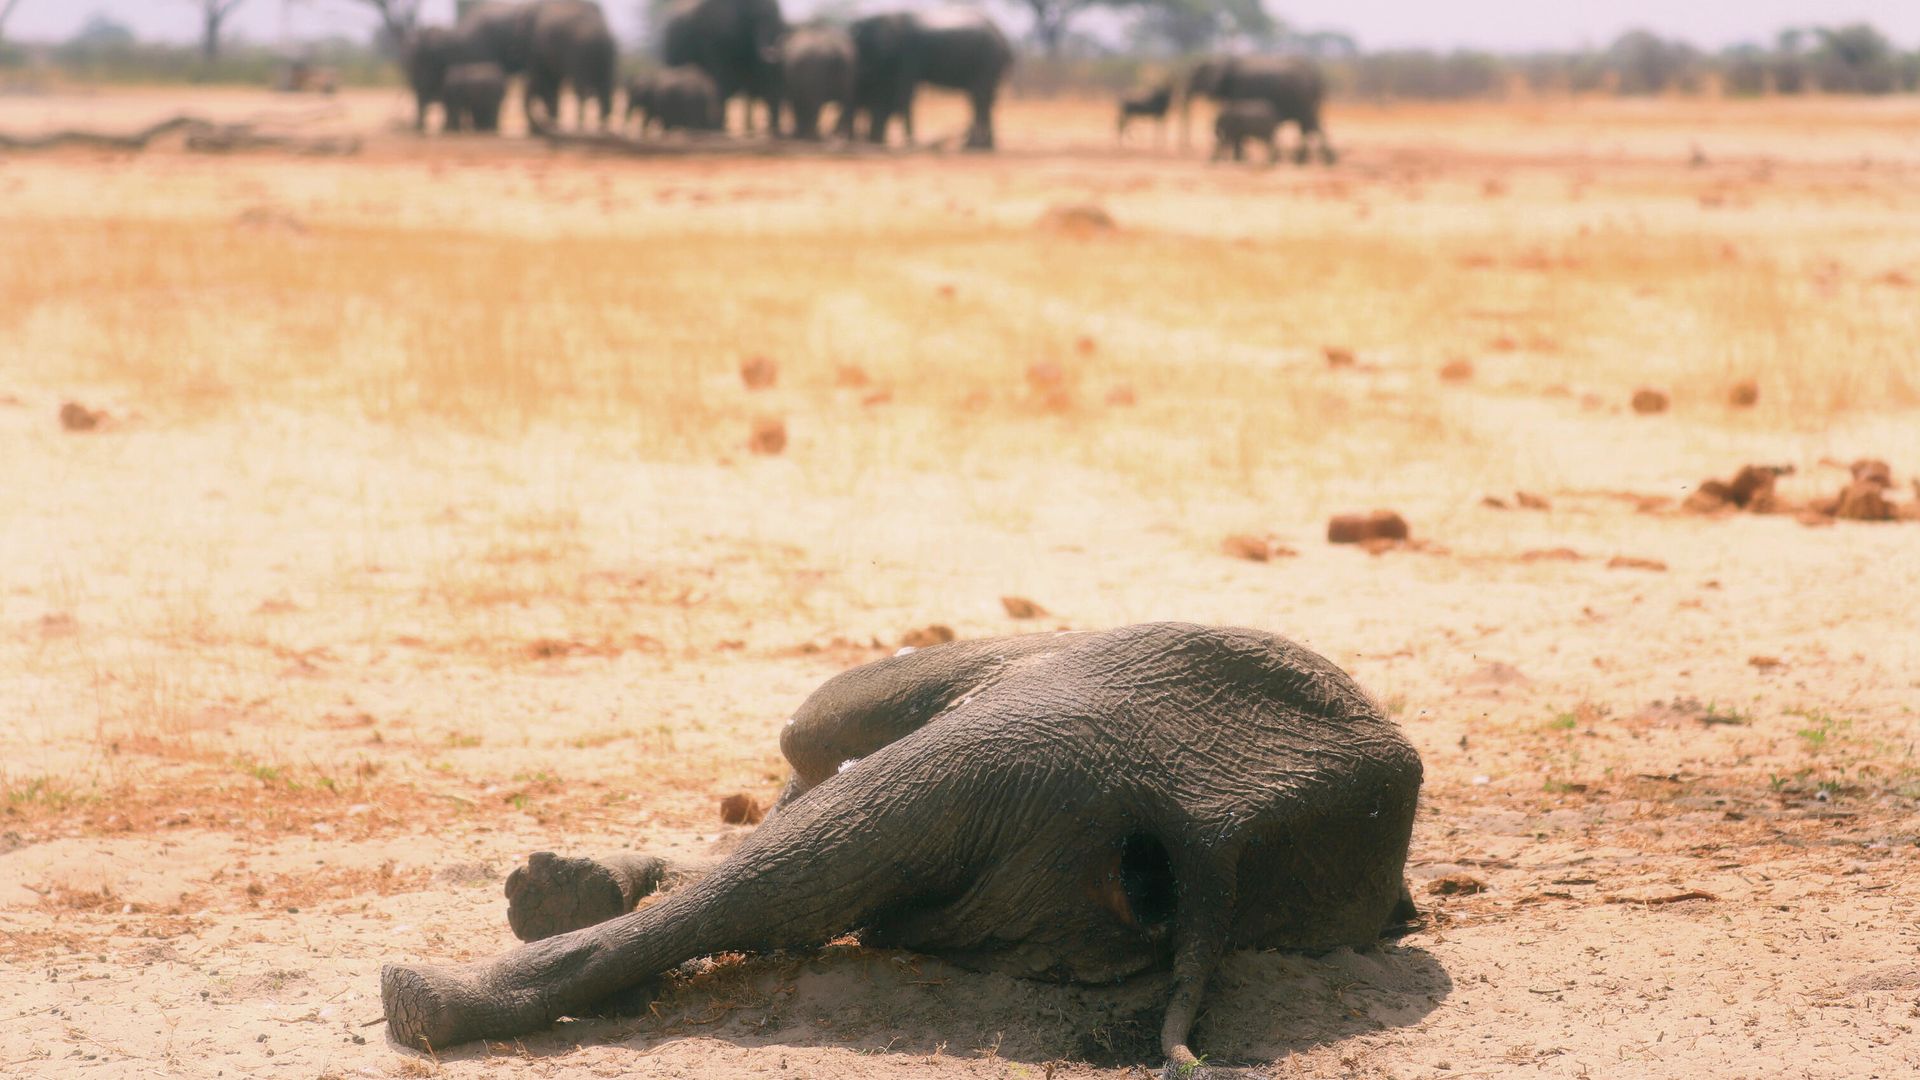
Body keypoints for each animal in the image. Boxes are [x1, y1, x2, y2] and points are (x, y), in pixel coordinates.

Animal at [850, 9, 1013, 150]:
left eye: (864, 44)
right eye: (867, 39)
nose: (873, 140)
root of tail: (1003, 39)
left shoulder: (908, 54)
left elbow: (904, 93)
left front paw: (910, 143)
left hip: (988, 57)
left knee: (979, 97)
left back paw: (974, 146)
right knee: (984, 99)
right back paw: (984, 146)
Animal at [1182, 55, 1335, 165]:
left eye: (1195, 78)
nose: (1188, 146)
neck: (1222, 61)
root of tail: (1317, 77)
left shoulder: (1238, 90)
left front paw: (1241, 159)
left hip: (1302, 99)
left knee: (1307, 126)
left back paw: (1303, 161)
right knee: (1311, 125)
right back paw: (1322, 160)